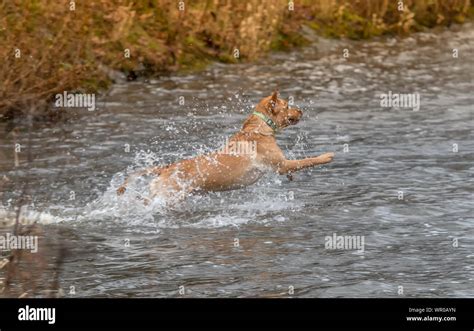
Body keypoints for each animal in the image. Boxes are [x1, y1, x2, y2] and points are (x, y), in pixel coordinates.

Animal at [116, 92, 336, 204]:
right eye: (288, 105)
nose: (301, 110)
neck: (258, 128)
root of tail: (167, 167)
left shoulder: (282, 165)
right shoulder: (281, 165)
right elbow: (306, 161)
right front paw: (325, 156)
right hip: (169, 195)